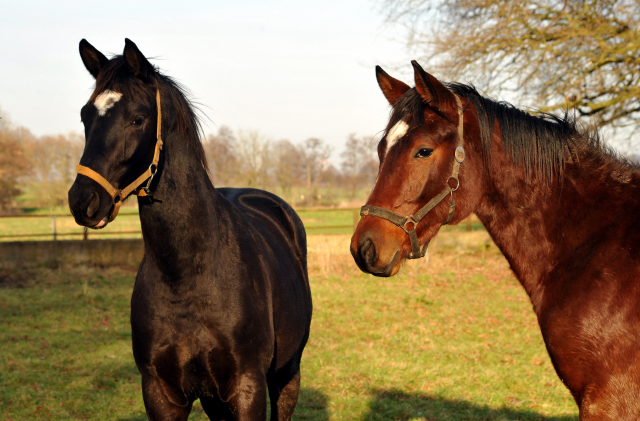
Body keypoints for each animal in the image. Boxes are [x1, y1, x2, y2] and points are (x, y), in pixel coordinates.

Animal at [67, 37, 312, 418]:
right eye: (85, 115)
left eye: (137, 118)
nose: (83, 200)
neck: (186, 275)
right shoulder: (162, 392)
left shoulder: (248, 388)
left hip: (288, 374)